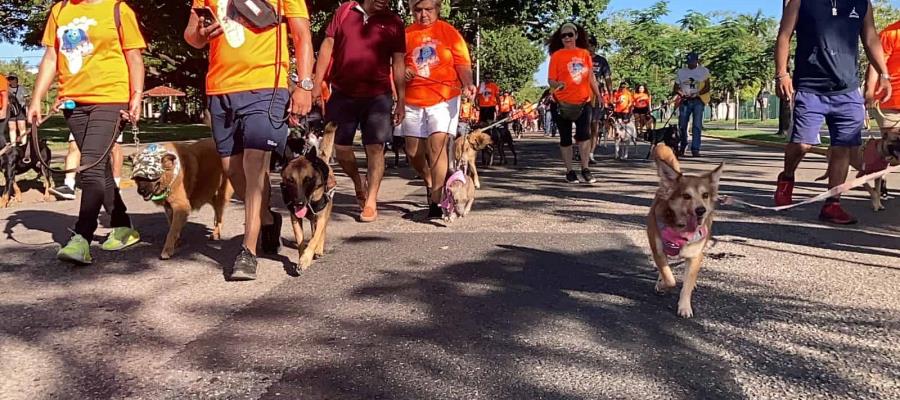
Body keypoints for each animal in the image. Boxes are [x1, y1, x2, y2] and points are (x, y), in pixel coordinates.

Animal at [280, 123, 336, 270]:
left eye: (308, 180)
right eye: (290, 180)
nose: (299, 203)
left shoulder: (321, 217)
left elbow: (314, 239)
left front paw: (306, 258)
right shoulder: (295, 219)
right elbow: (300, 241)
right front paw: (301, 257)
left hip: (325, 213)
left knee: (321, 231)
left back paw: (319, 249)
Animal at [648, 144, 724, 318]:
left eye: (705, 195)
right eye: (686, 196)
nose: (701, 210)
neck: (681, 230)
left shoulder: (695, 255)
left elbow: (687, 284)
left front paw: (684, 307)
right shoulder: (658, 250)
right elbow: (669, 278)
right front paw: (662, 285)